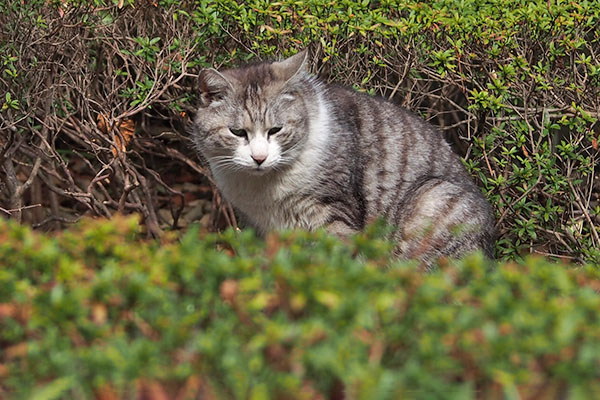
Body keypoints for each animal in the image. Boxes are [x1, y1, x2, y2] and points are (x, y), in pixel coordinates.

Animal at [192, 50, 496, 268]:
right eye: (237, 132)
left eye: (275, 130)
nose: (259, 157)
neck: (265, 190)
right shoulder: (263, 228)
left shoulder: (332, 210)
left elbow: (338, 261)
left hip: (434, 199)